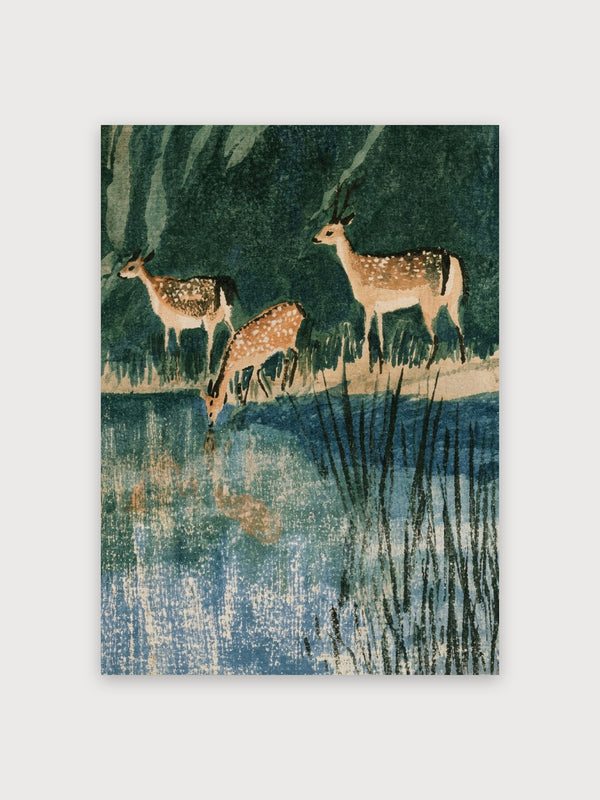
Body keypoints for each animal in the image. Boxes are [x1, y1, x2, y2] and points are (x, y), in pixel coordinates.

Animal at [312, 181, 468, 370]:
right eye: (323, 227)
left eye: (329, 231)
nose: (314, 238)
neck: (357, 271)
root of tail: (452, 258)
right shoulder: (380, 309)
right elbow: (380, 337)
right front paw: (380, 368)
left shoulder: (369, 302)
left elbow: (366, 335)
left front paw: (368, 369)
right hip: (455, 297)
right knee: (459, 328)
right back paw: (462, 362)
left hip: (429, 300)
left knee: (437, 337)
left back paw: (427, 367)